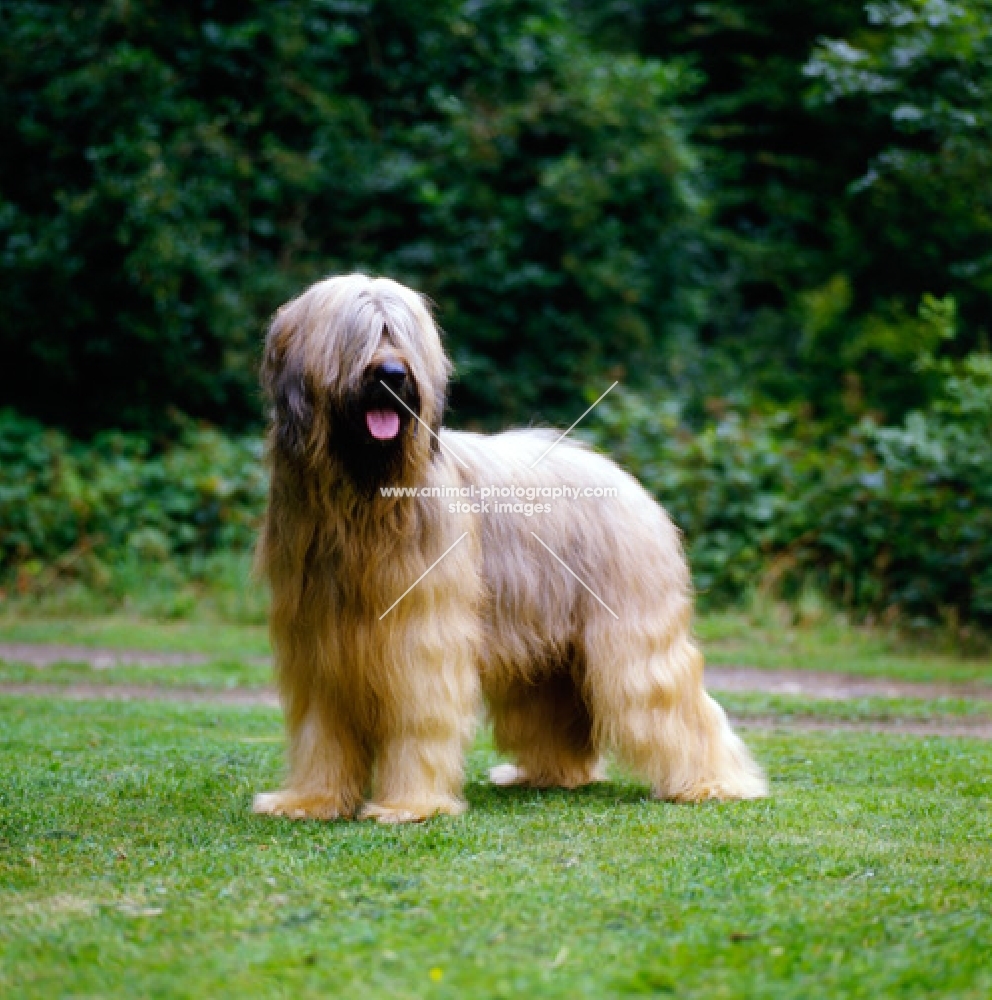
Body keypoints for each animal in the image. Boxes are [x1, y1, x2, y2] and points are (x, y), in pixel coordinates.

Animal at [254, 272, 768, 820]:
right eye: (358, 334)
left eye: (400, 333)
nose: (392, 374)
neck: (361, 497)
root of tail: (621, 475)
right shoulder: (317, 642)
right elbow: (321, 729)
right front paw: (311, 800)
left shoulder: (421, 639)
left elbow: (419, 714)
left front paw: (409, 805)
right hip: (545, 648)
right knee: (553, 706)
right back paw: (551, 774)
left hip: (632, 632)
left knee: (672, 701)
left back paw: (714, 782)